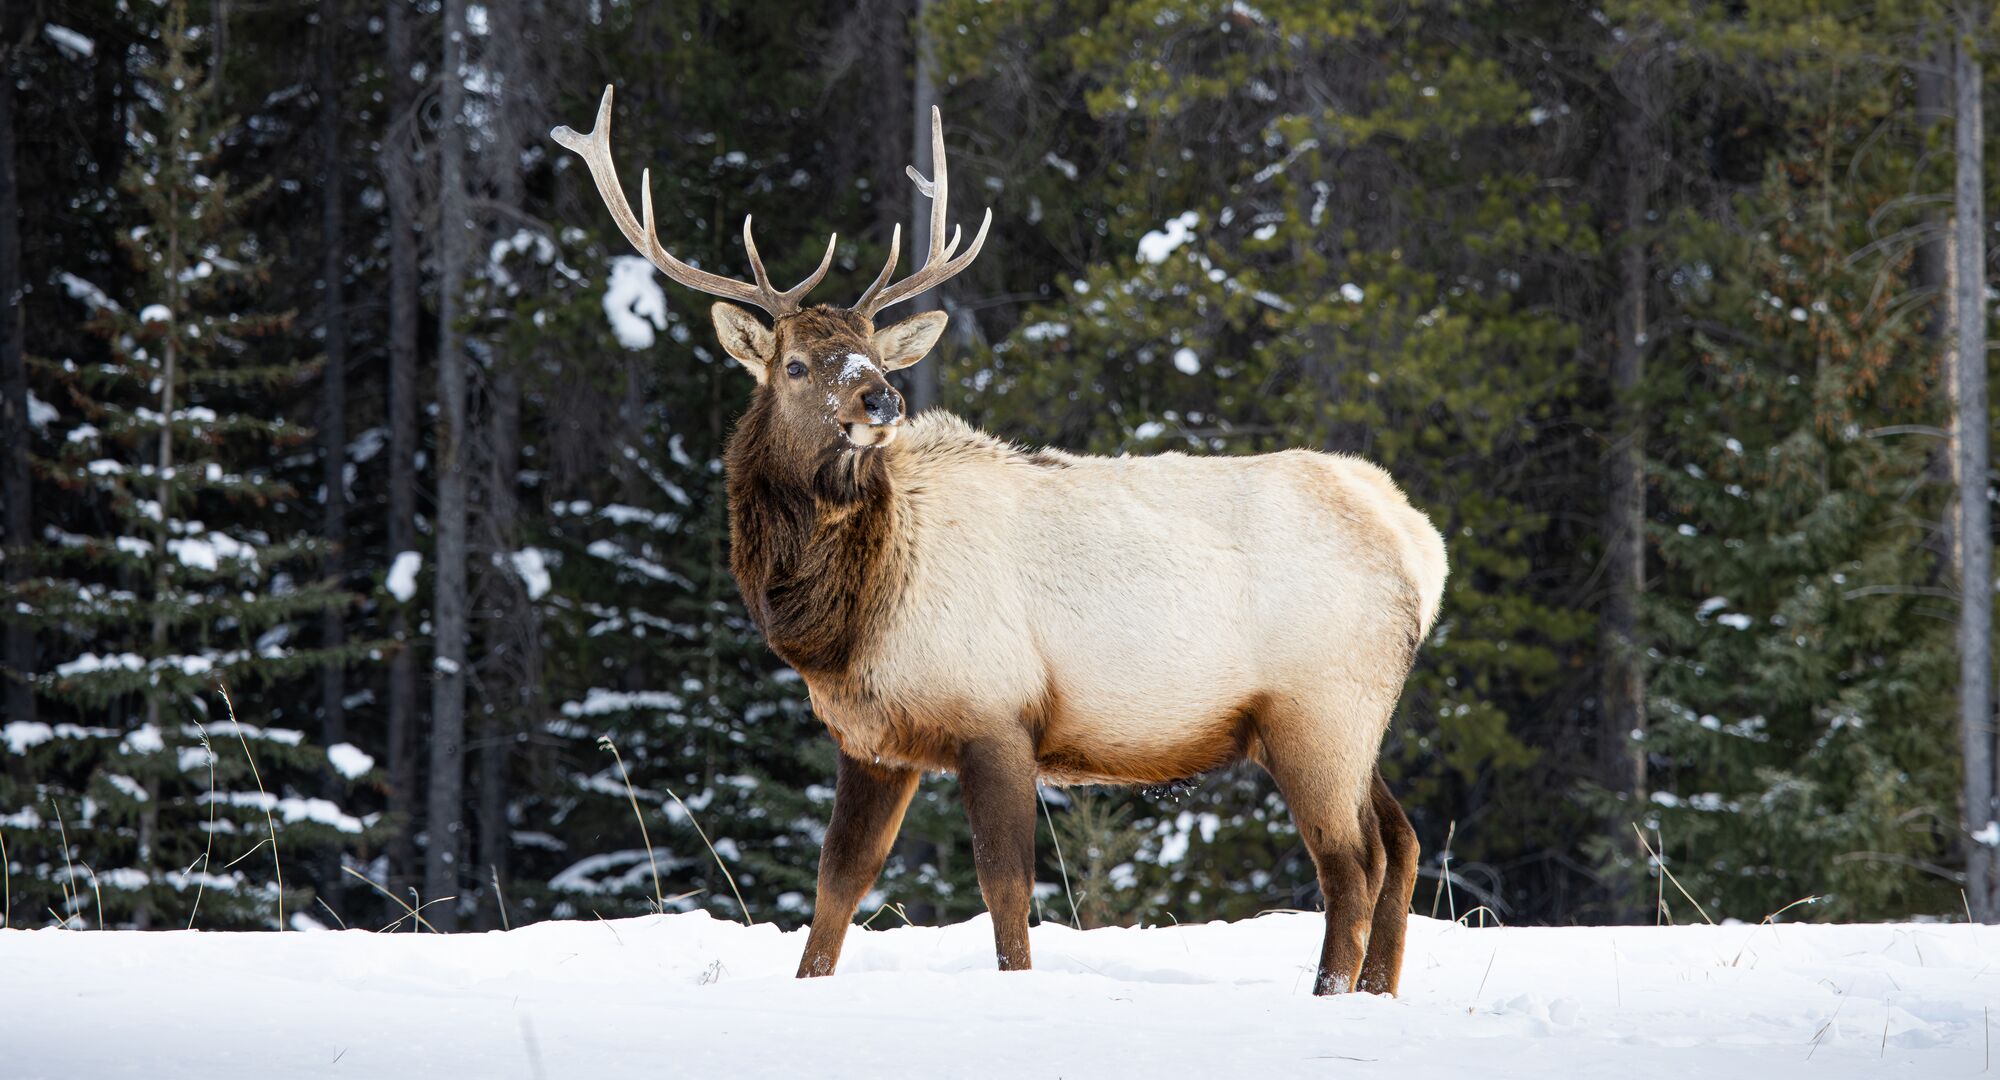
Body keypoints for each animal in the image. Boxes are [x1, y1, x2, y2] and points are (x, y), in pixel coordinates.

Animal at [553, 87, 1446, 996]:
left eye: (871, 352)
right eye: (796, 364)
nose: (882, 397)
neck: (845, 619)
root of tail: (1418, 541)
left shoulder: (995, 713)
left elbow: (1006, 890)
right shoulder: (872, 741)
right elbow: (839, 882)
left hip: (1320, 707)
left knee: (1352, 862)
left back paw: (1332, 993)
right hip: (1349, 714)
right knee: (1402, 841)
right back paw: (1377, 989)